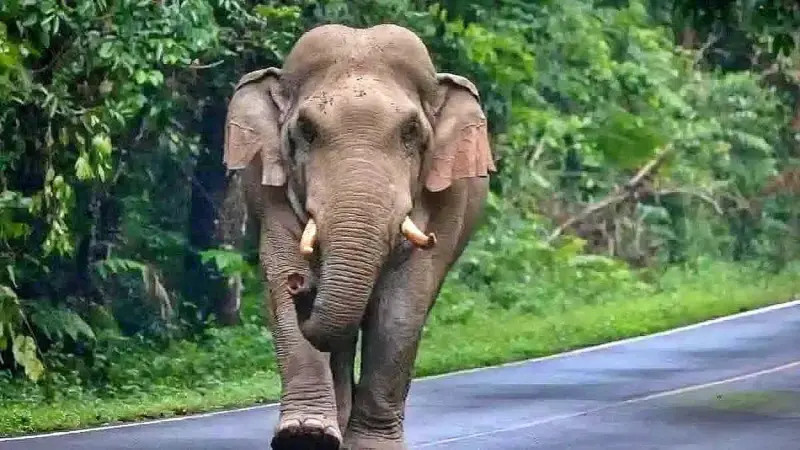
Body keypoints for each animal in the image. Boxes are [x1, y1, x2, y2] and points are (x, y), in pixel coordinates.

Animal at [216, 23, 495, 450]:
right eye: (306, 131)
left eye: (411, 132)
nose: (303, 286)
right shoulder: (267, 187)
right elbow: (280, 270)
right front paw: (306, 436)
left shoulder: (446, 200)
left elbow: (402, 305)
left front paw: (371, 445)